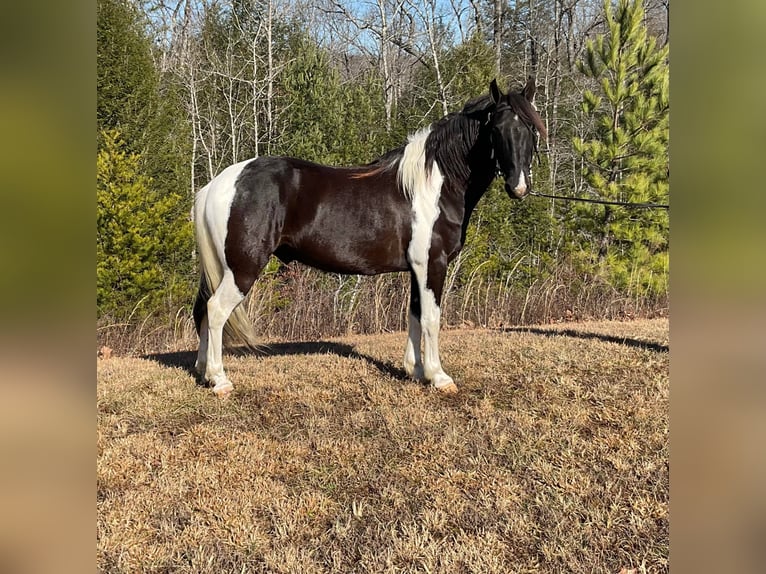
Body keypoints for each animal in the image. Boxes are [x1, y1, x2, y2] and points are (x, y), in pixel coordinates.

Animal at [195, 79, 548, 398]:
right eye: (497, 129)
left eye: (532, 129)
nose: (518, 186)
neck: (434, 186)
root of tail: (217, 184)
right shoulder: (432, 265)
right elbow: (432, 318)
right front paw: (439, 377)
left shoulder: (417, 270)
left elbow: (414, 315)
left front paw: (414, 371)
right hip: (242, 269)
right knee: (216, 310)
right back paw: (220, 380)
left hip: (221, 269)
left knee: (202, 311)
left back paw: (203, 373)